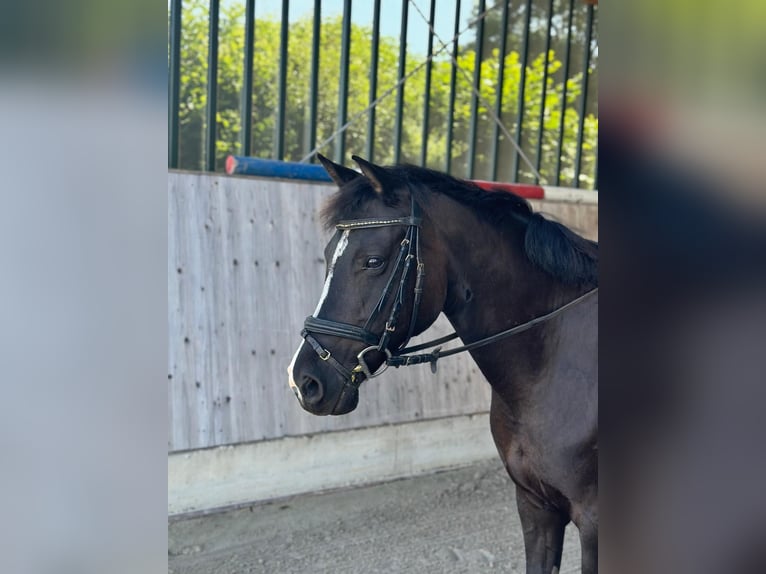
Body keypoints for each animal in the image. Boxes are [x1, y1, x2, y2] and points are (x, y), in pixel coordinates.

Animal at [288, 155, 600, 572]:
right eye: (326, 256)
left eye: (373, 261)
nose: (305, 381)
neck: (550, 365)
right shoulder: (535, 507)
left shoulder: (593, 522)